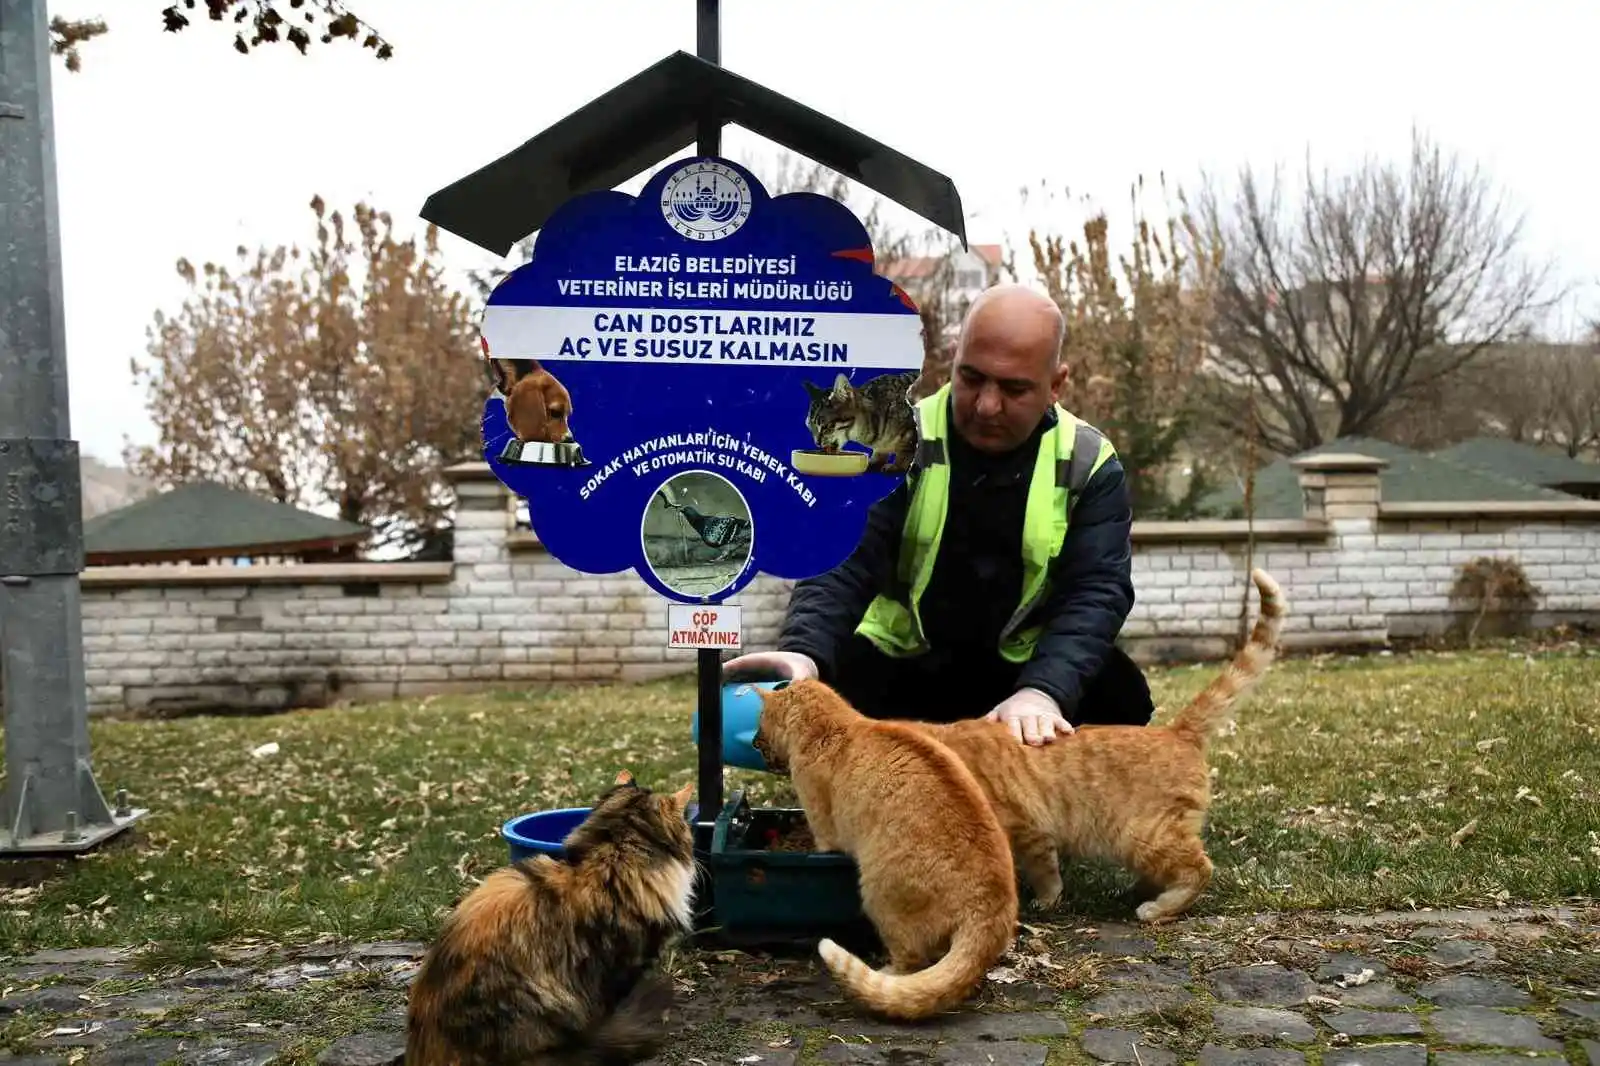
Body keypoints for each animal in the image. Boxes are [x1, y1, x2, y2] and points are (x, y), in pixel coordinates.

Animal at [745, 675, 1011, 1017]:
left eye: (759, 723)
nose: (753, 742)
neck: (835, 727)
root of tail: (992, 909)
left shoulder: (824, 834)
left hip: (878, 897)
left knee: (911, 961)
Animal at [902, 563, 1286, 921]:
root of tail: (1176, 731)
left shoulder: (1029, 829)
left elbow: (1045, 873)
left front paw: (1046, 901)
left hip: (1142, 835)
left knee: (1199, 868)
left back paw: (1157, 907)